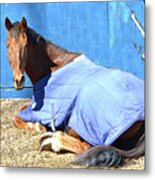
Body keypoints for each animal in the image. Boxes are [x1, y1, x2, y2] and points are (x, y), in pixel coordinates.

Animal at [4, 17, 145, 167]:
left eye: (25, 45)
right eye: (7, 45)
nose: (18, 80)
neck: (53, 68)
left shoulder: (39, 110)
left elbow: (16, 117)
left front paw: (37, 127)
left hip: (78, 124)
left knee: (85, 146)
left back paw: (54, 140)